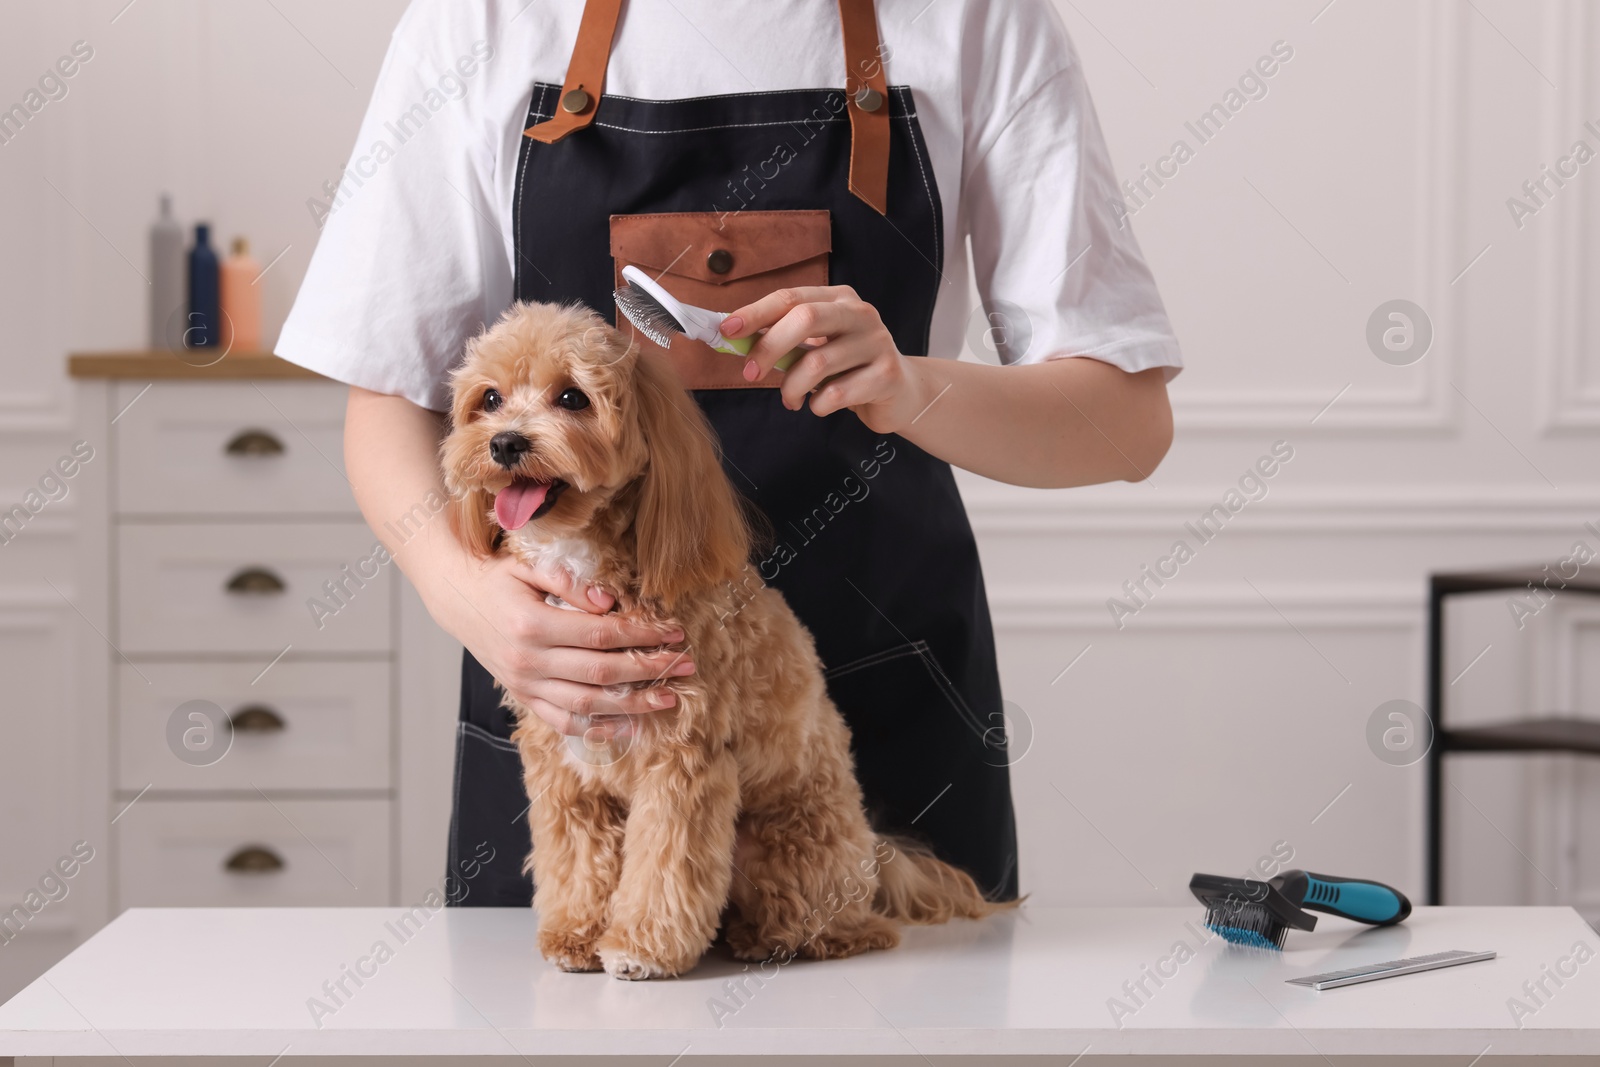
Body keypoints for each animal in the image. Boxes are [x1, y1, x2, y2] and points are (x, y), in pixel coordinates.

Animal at [444, 302, 1004, 985]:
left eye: (572, 397)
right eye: (490, 399)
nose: (504, 443)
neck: (590, 560)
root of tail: (876, 858)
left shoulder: (683, 762)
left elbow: (665, 866)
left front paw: (640, 947)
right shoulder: (568, 769)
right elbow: (577, 861)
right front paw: (577, 933)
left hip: (786, 840)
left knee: (839, 927)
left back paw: (774, 937)